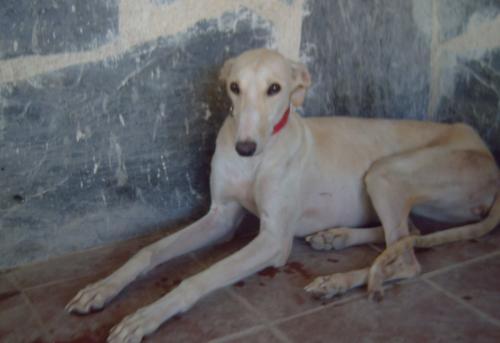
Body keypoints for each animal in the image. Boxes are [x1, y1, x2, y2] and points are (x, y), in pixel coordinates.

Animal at [66, 49, 500, 343]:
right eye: (234, 87)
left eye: (275, 89)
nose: (243, 148)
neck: (259, 159)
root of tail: (489, 155)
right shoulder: (220, 217)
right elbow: (148, 251)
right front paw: (101, 288)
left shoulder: (273, 241)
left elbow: (197, 278)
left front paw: (146, 316)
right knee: (409, 236)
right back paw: (336, 237)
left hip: (386, 173)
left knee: (407, 258)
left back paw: (336, 280)